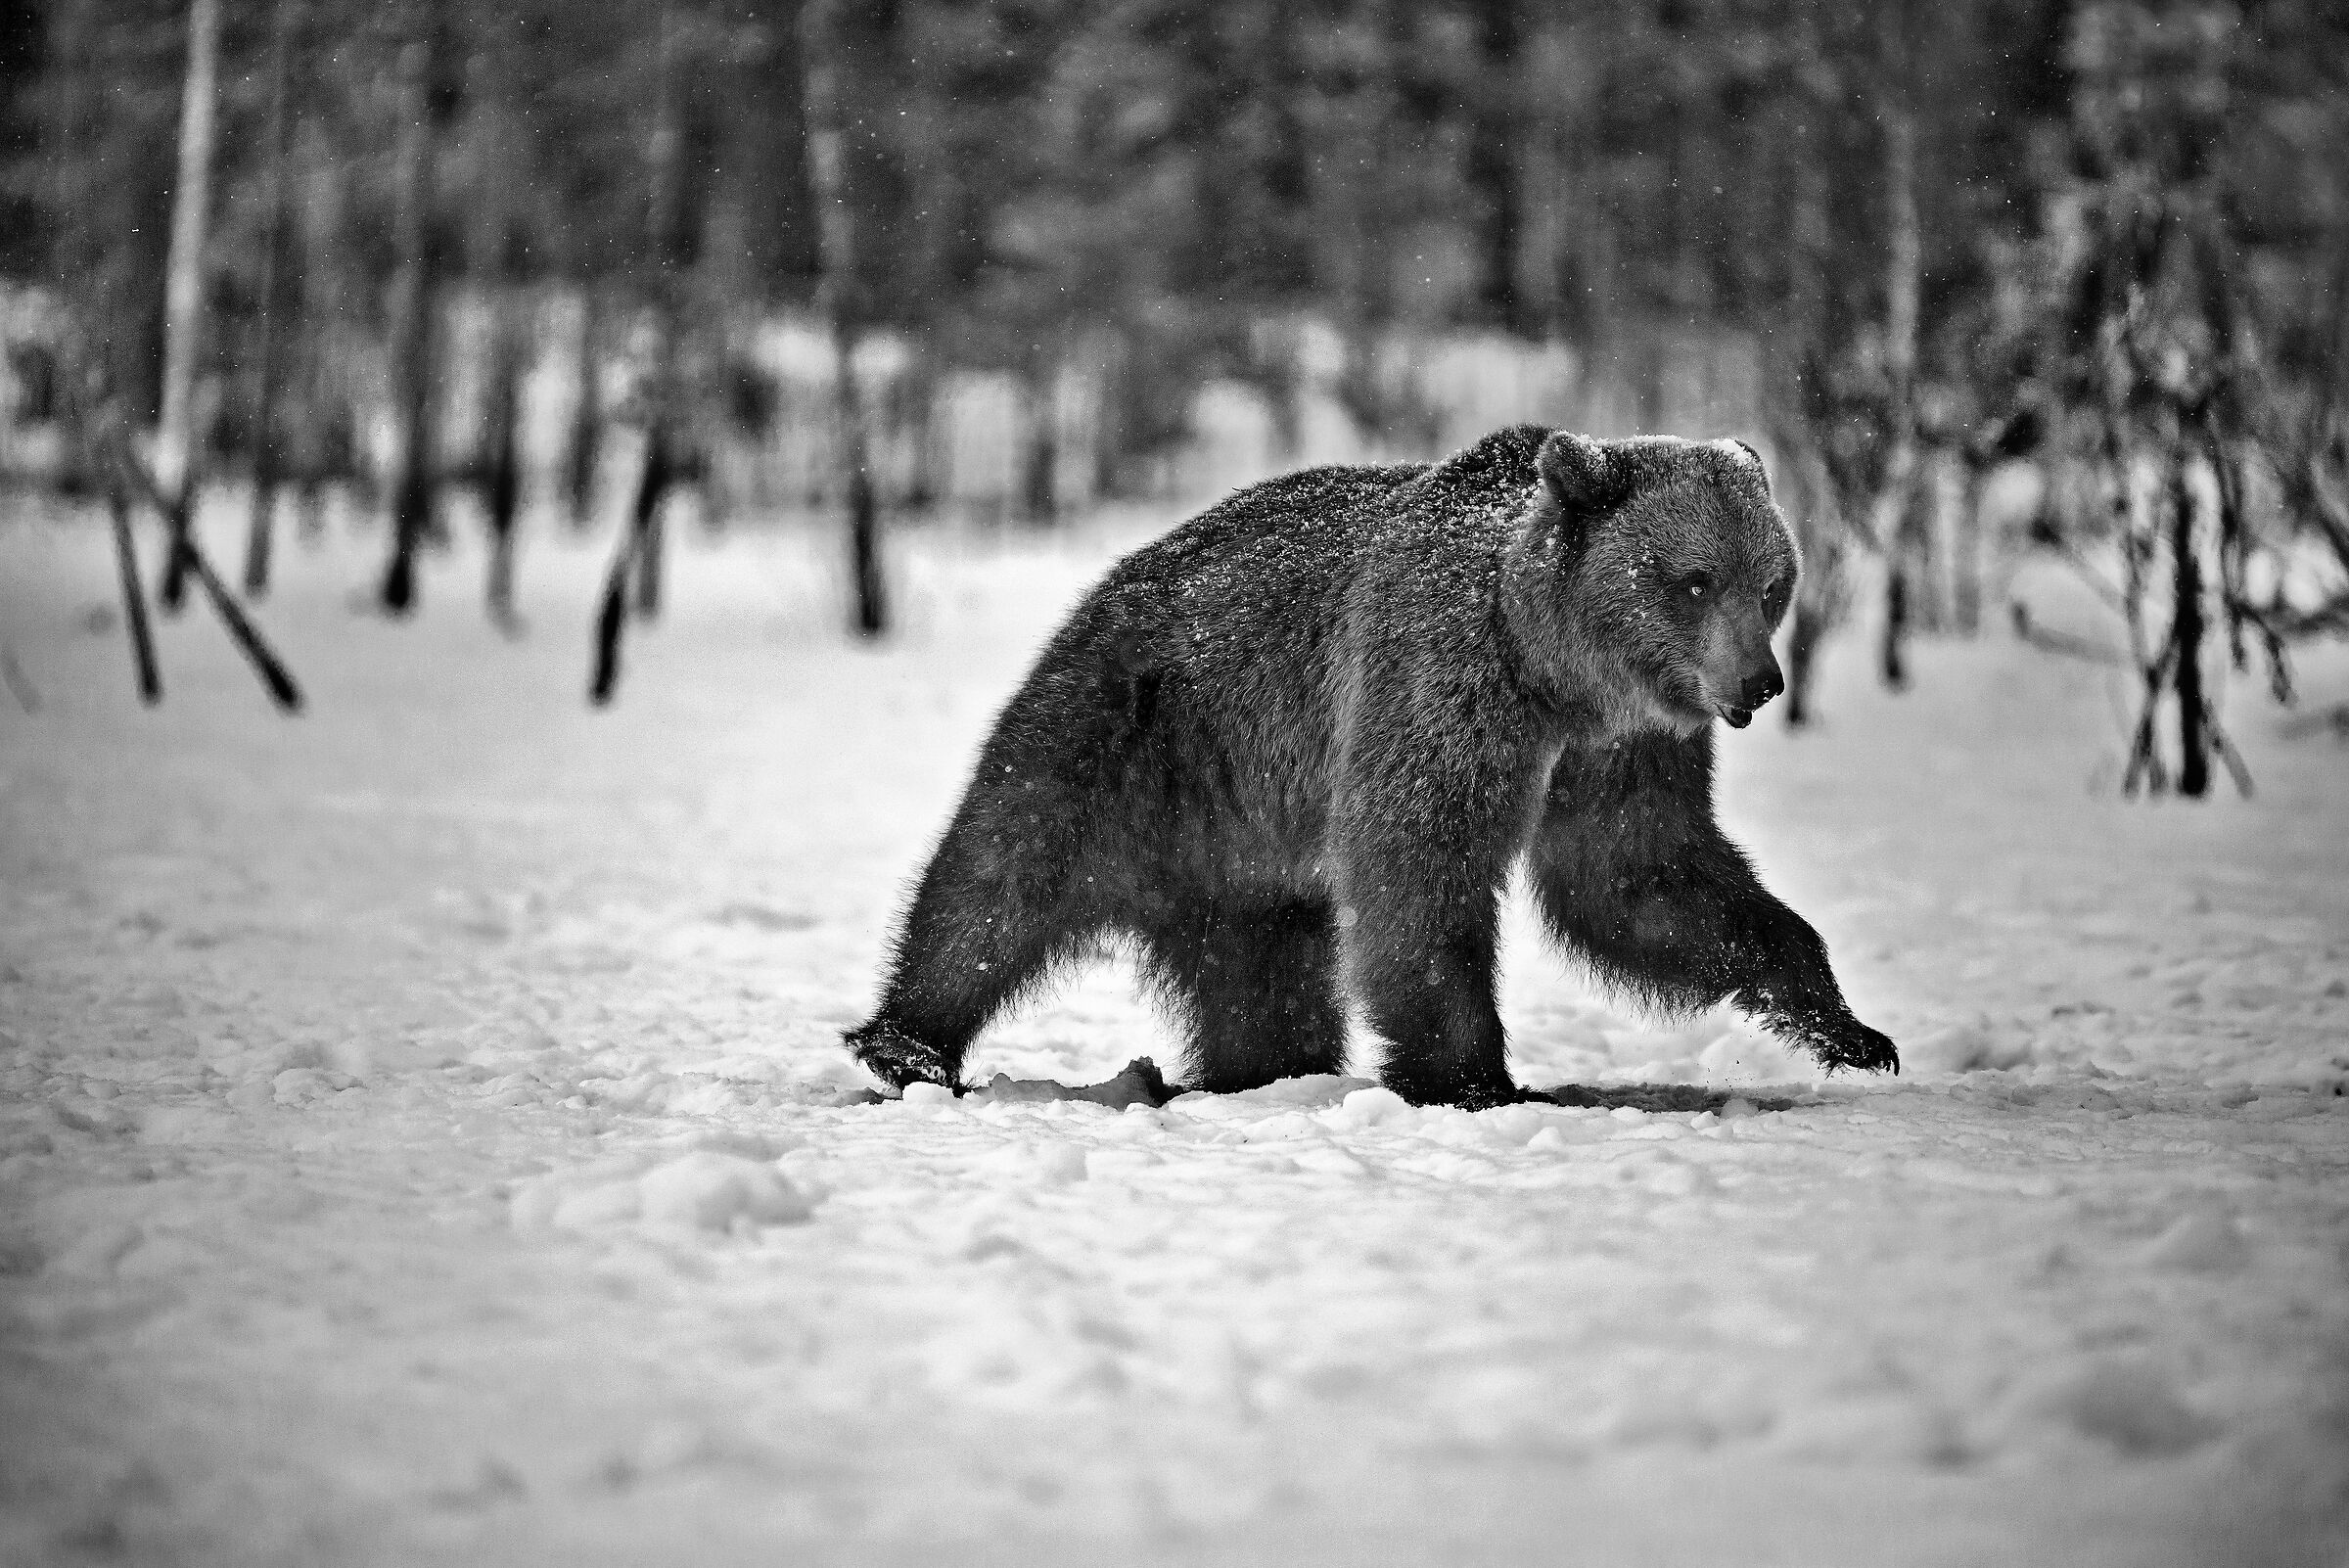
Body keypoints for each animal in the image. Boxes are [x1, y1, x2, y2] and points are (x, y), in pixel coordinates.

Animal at [846, 425, 1898, 1108]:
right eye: (1693, 579)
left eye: (1772, 581)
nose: (1760, 682)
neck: (1555, 671)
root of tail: (1114, 578)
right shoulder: (1440, 678)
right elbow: (1420, 862)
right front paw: (1473, 1077)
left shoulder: (1622, 752)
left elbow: (1643, 875)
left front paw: (1850, 1029)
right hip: (1140, 726)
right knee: (1004, 872)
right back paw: (905, 1047)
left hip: (1250, 844)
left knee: (1264, 973)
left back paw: (1272, 1070)